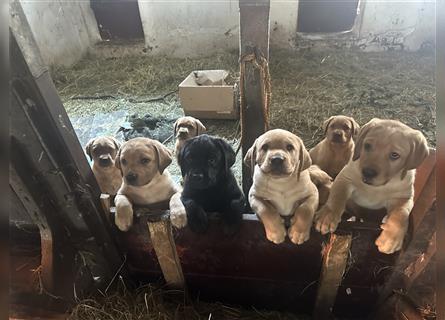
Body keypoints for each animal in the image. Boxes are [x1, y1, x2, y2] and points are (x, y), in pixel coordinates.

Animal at [314, 119, 428, 254]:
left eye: (394, 155)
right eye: (367, 146)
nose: (367, 173)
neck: (375, 187)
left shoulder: (403, 197)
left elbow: (400, 215)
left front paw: (391, 239)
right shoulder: (345, 178)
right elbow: (337, 196)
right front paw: (327, 216)